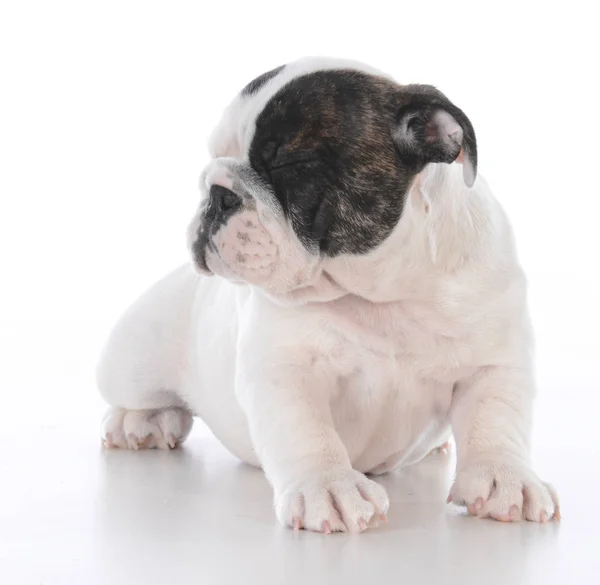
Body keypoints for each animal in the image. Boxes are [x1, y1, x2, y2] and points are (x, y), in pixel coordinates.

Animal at [96, 57, 560, 532]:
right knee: (139, 394)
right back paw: (138, 420)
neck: (380, 291)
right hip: (133, 354)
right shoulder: (285, 371)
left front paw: (506, 476)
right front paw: (329, 486)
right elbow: (309, 431)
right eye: (212, 159)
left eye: (290, 163)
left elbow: (495, 420)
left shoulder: (494, 362)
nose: (216, 193)